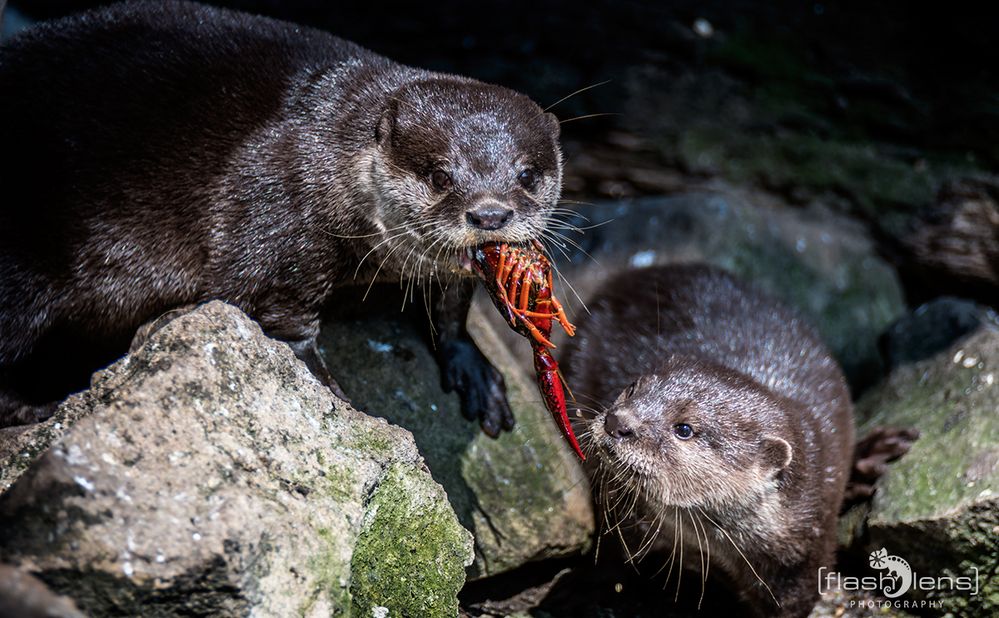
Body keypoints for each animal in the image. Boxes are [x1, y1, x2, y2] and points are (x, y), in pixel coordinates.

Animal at [0, 0, 564, 428]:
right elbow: (273, 317)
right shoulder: (273, 209)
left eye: (526, 174)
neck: (328, 151)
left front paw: (475, 369)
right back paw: (39, 410)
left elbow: (450, 306)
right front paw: (336, 400)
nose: (489, 214)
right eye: (440, 175)